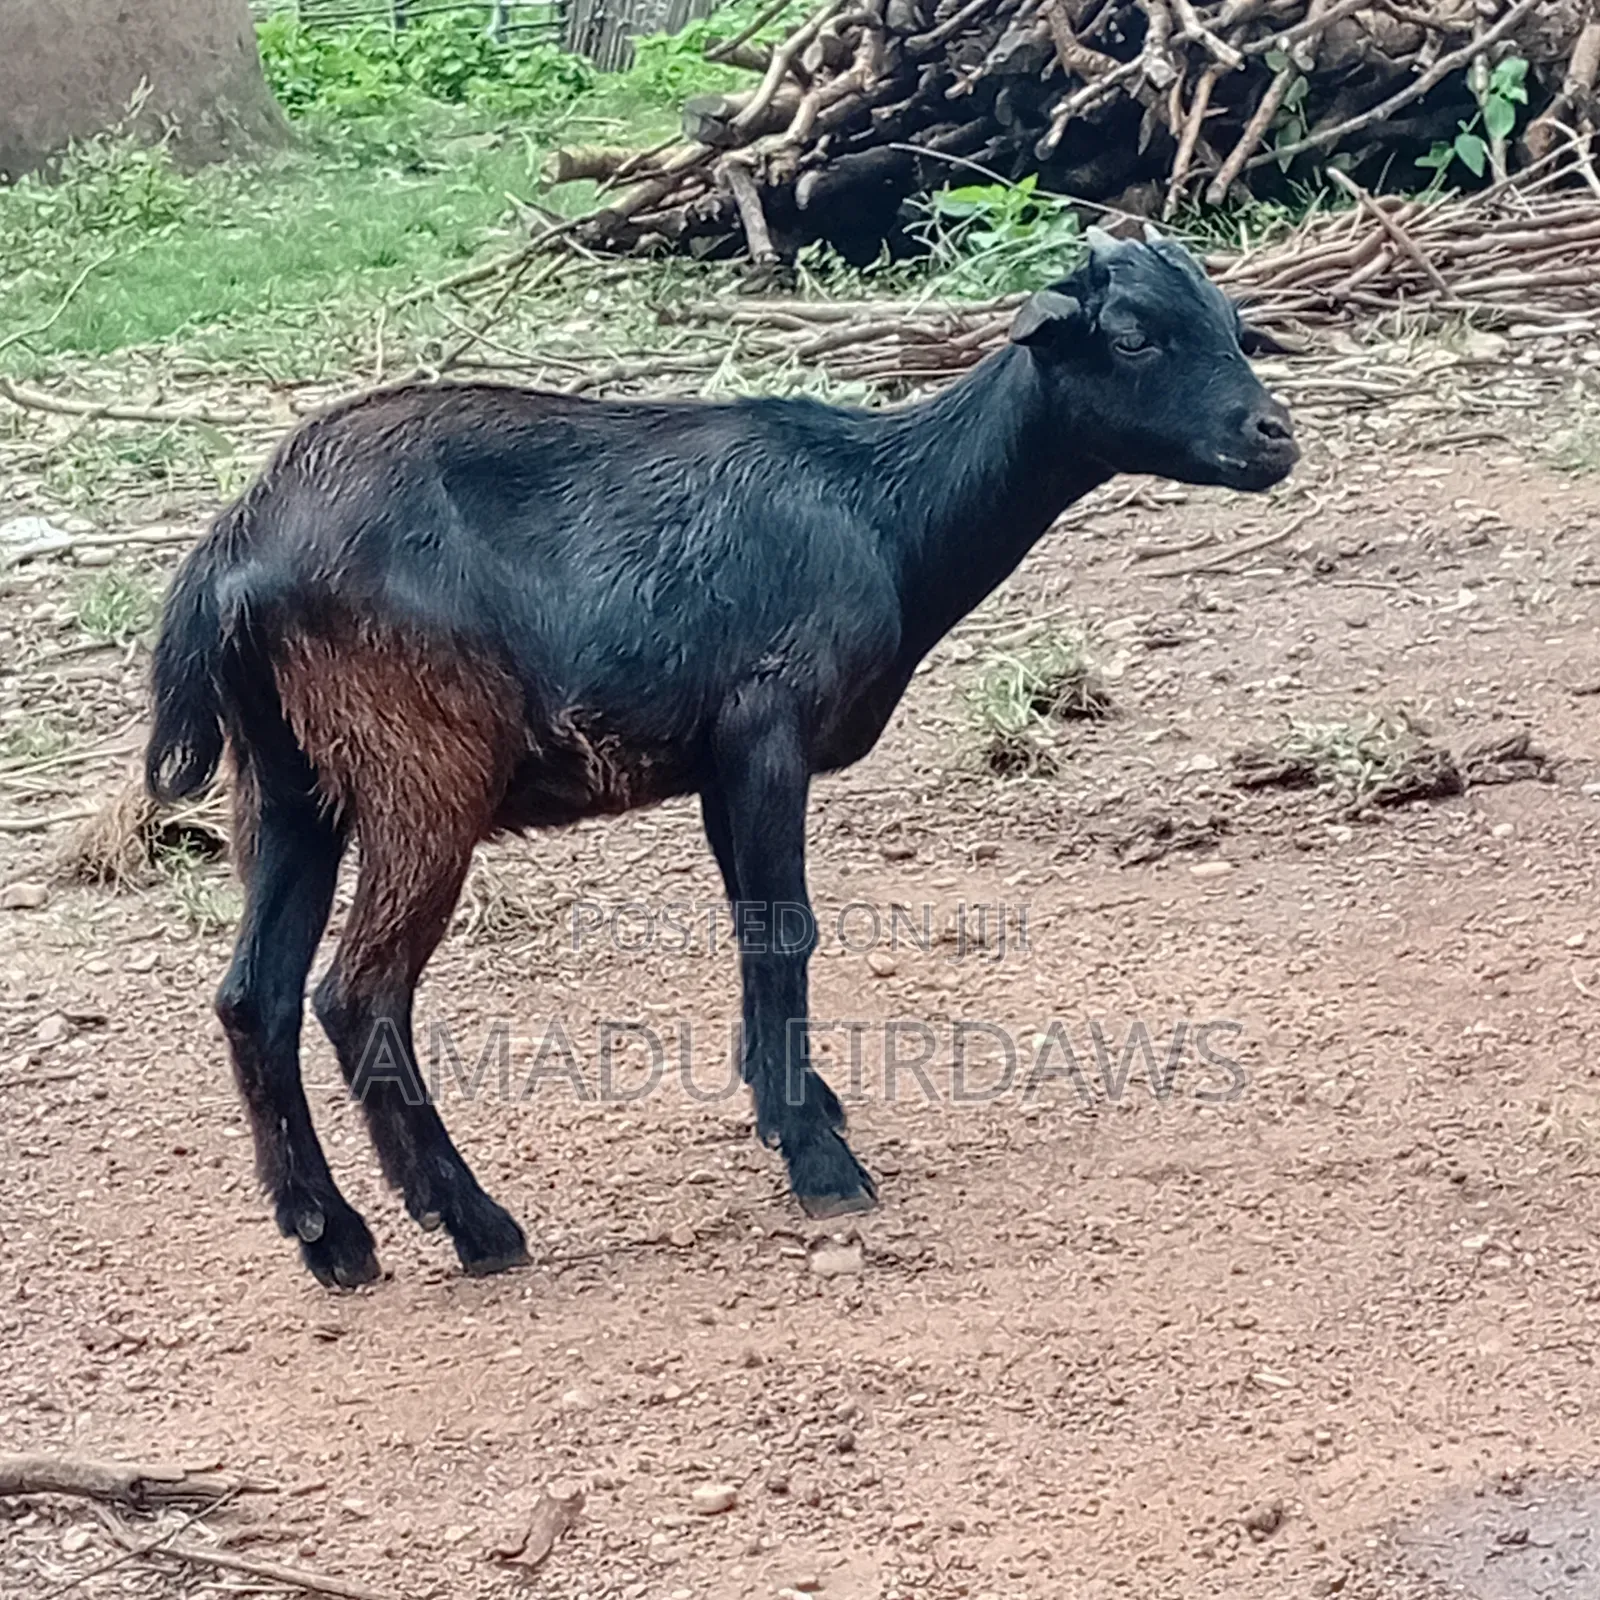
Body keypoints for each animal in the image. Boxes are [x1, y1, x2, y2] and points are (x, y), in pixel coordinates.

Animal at [145, 228, 1297, 1288]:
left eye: (1234, 326)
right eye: (1133, 334)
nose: (1273, 436)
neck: (879, 507)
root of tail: (232, 555)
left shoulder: (716, 763)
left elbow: (750, 924)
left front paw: (795, 1104)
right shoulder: (766, 722)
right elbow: (785, 931)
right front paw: (822, 1162)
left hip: (287, 784)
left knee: (254, 996)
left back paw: (331, 1237)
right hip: (418, 770)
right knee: (359, 992)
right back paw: (475, 1225)